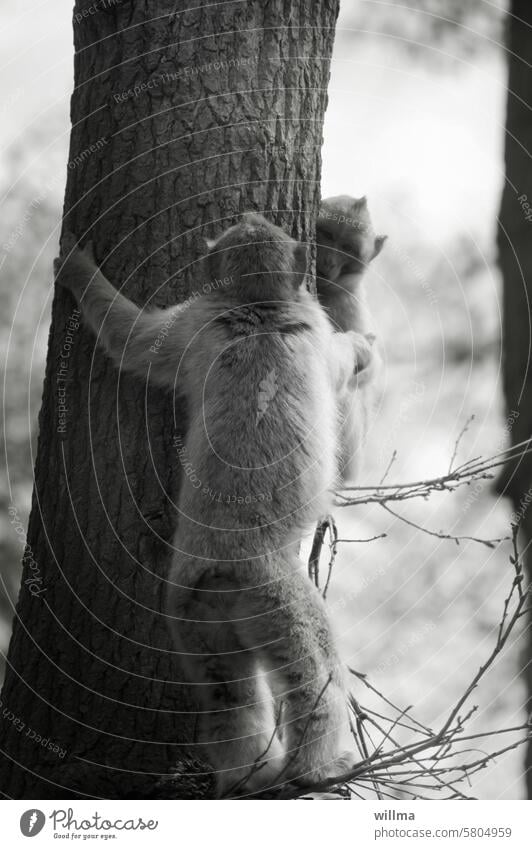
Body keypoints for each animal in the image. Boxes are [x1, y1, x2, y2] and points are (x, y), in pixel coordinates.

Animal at [52, 214, 372, 796]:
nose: (250, 214)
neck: (256, 306)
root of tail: (223, 571)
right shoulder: (305, 328)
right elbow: (339, 360)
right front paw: (362, 347)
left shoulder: (192, 325)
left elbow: (134, 337)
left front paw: (77, 270)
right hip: (281, 603)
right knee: (316, 680)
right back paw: (314, 770)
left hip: (191, 620)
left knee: (229, 698)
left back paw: (245, 778)